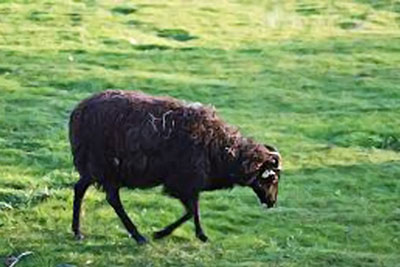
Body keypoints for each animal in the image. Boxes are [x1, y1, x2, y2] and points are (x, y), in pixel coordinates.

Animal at [69, 90, 282, 245]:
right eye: (272, 178)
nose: (272, 203)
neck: (221, 148)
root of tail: (77, 112)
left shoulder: (191, 184)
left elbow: (194, 209)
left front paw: (200, 235)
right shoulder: (182, 182)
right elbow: (191, 211)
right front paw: (162, 233)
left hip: (95, 167)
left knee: (81, 188)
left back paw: (77, 231)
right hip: (104, 166)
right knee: (112, 198)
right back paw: (138, 236)